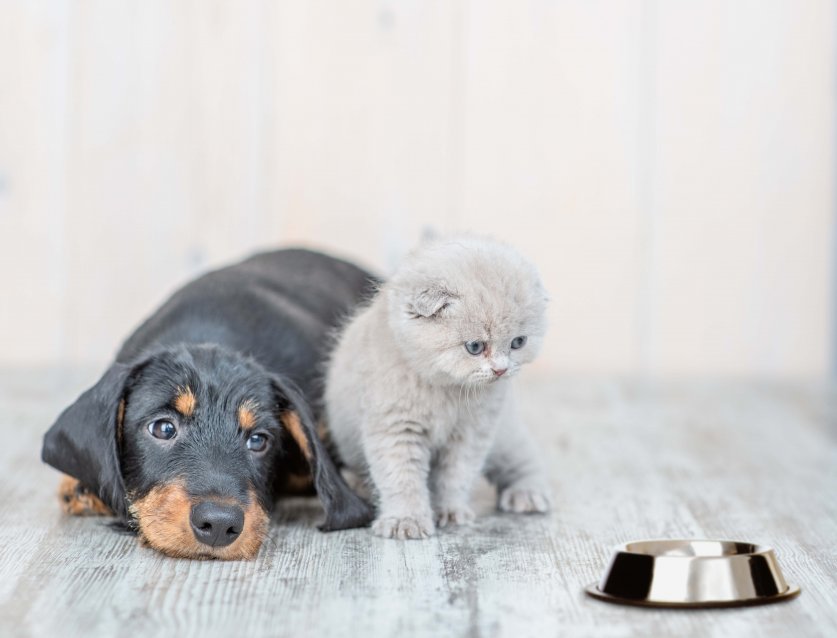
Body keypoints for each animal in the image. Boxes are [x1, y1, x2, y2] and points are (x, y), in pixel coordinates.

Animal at [324, 235, 552, 540]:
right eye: (475, 346)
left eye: (518, 342)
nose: (501, 370)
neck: (446, 391)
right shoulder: (395, 428)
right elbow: (401, 478)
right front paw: (405, 520)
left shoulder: (472, 433)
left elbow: (457, 475)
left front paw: (451, 512)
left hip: (503, 435)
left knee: (523, 458)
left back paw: (527, 493)